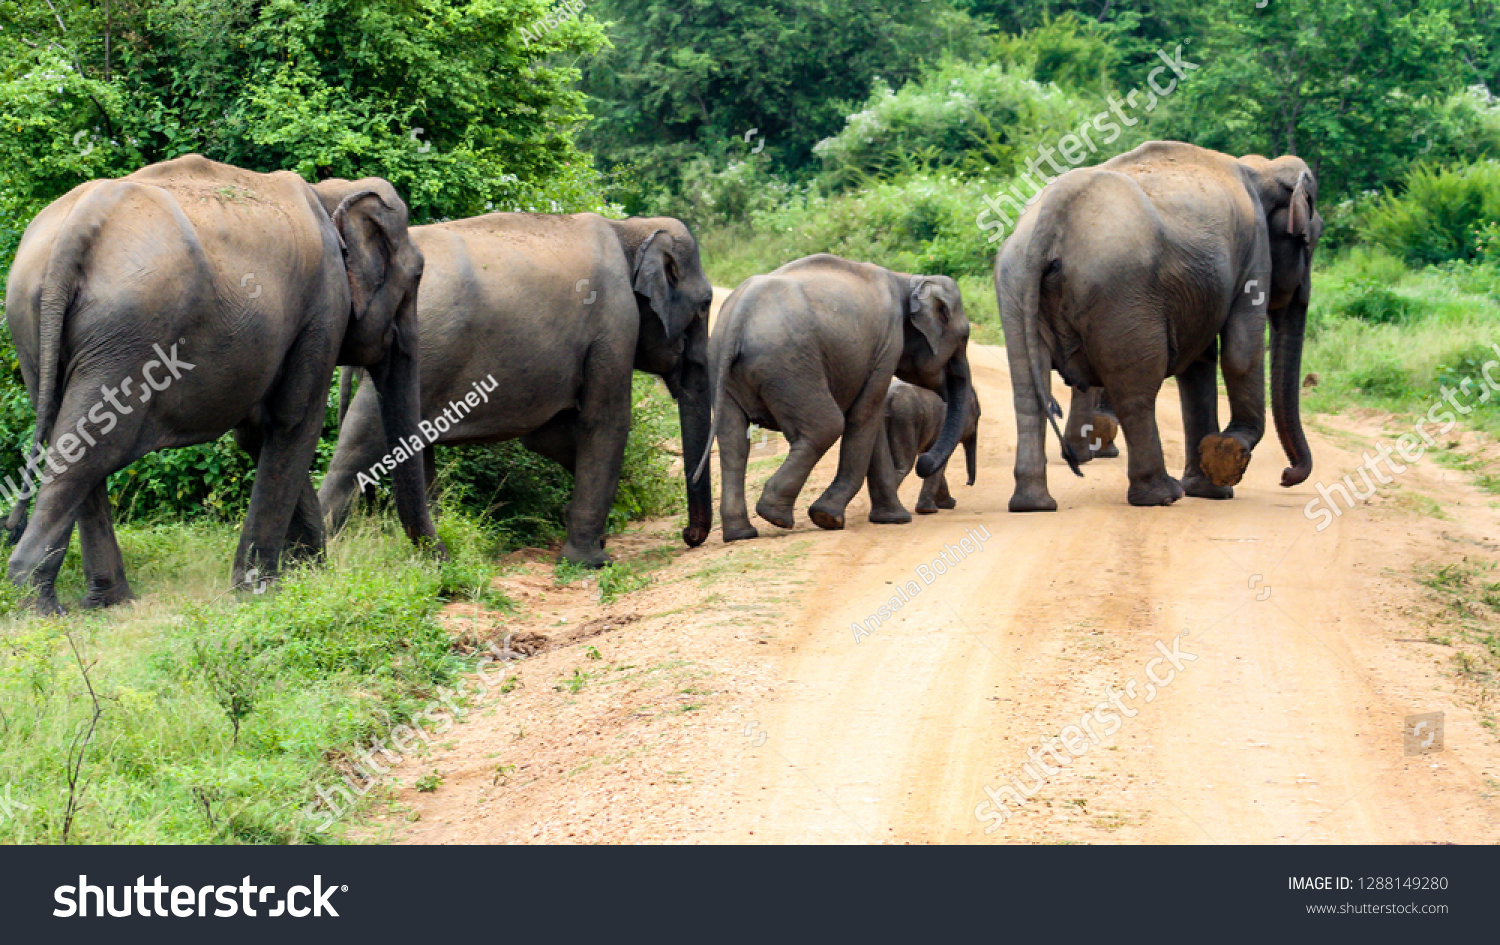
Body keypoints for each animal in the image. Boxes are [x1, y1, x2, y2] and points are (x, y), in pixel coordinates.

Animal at [4, 155, 438, 615]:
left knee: (67, 437)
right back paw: (41, 608)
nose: (440, 559)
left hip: (33, 324)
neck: (330, 191)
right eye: (417, 275)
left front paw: (310, 578)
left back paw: (108, 603)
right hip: (129, 334)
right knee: (93, 449)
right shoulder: (323, 309)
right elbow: (294, 422)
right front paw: (263, 590)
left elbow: (259, 435)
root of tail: (76, 229)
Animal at [318, 213, 714, 570]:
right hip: (425, 349)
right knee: (359, 447)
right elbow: (605, 423)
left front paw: (588, 535)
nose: (687, 535)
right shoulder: (615, 325)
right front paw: (592, 562)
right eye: (705, 305)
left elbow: (548, 436)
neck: (631, 228)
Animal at [870, 378, 984, 516]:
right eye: (977, 416)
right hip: (905, 422)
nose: (968, 483)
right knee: (903, 466)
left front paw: (947, 504)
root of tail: (889, 399)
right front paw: (928, 510)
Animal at [1002, 141, 1320, 510]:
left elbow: (1200, 363)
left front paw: (1209, 489)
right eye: (1309, 244)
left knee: (1027, 390)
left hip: (1016, 280)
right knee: (1136, 391)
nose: (1286, 476)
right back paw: (1161, 494)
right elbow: (1240, 351)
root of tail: (1053, 212)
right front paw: (1227, 455)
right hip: (1123, 291)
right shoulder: (1254, 251)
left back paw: (1033, 504)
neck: (1262, 169)